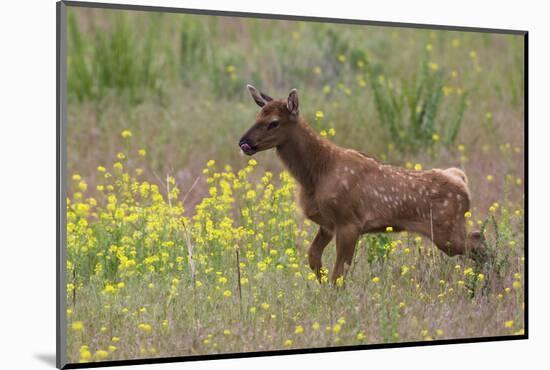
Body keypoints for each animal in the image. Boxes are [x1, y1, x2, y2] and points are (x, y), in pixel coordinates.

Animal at [239, 85, 486, 284]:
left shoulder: (349, 221)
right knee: (478, 238)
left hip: (446, 230)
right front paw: (320, 284)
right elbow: (313, 258)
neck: (317, 174)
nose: (244, 142)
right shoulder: (328, 224)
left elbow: (338, 276)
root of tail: (460, 179)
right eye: (257, 115)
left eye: (274, 122)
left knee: (478, 241)